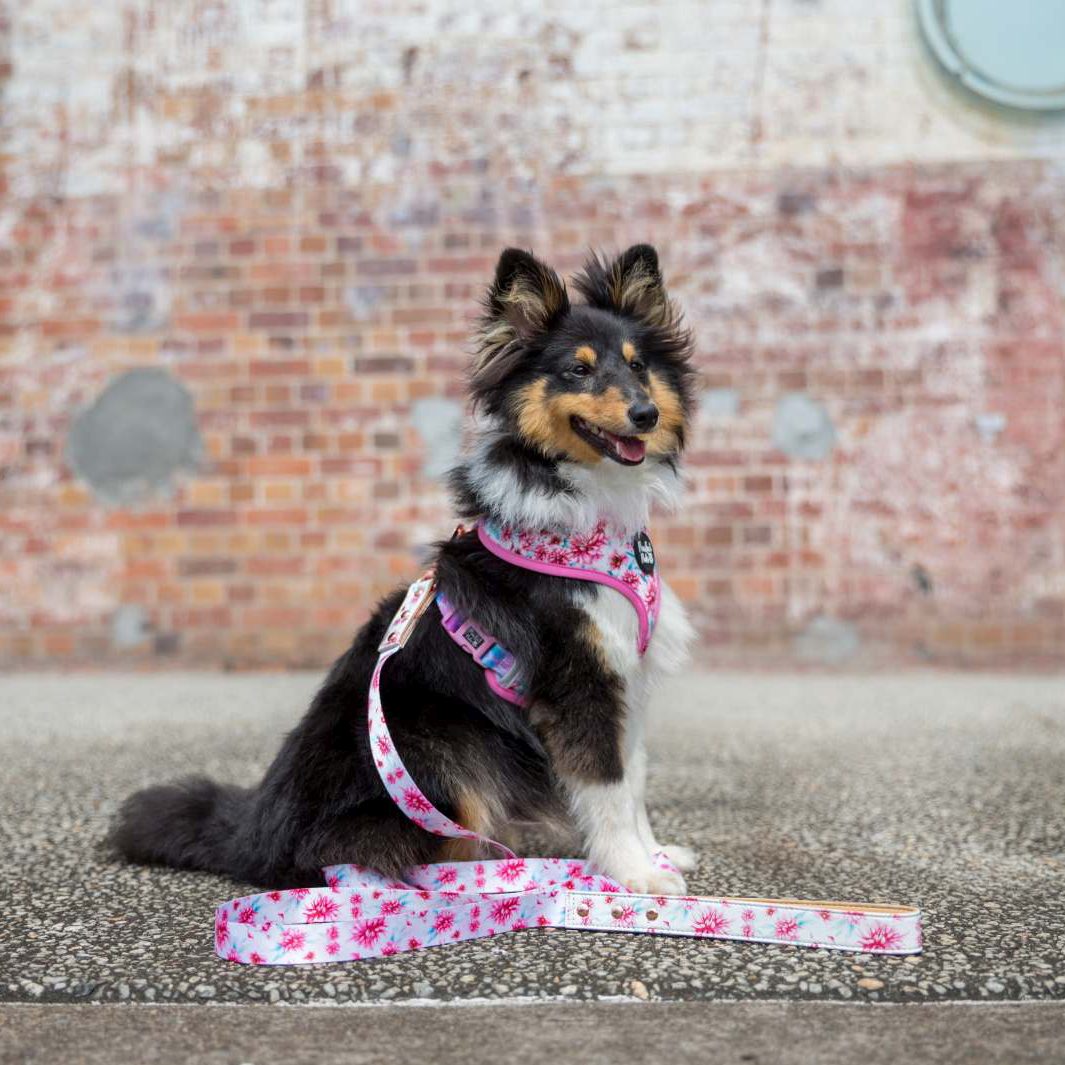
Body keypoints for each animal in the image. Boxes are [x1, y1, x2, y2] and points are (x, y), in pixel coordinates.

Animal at [110, 243, 698, 898]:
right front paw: (633, 875)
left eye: (639, 366)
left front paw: (657, 856)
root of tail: (252, 834)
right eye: (577, 370)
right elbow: (609, 787)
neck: (591, 509)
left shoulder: (626, 676)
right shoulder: (579, 682)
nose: (646, 414)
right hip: (442, 740)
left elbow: (634, 781)